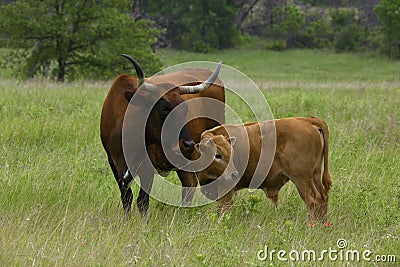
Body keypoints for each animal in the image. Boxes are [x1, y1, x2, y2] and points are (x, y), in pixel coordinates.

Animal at [100, 55, 225, 218]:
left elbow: (142, 202)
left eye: (185, 109)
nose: (188, 144)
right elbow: (126, 198)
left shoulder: (147, 167)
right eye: (164, 109)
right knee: (189, 184)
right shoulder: (115, 165)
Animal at [192, 117, 332, 224]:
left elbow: (222, 211)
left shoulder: (226, 192)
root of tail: (307, 120)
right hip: (315, 175)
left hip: (302, 179)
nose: (235, 174)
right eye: (217, 155)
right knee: (323, 197)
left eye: (231, 153)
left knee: (313, 201)